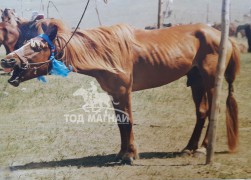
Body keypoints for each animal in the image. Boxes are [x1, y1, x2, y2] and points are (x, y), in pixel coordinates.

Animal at [0, 19, 239, 165]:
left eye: (37, 47)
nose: (7, 60)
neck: (106, 53)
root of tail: (224, 36)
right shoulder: (114, 93)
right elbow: (121, 123)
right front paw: (122, 153)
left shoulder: (124, 91)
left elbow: (128, 121)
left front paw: (131, 155)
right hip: (196, 81)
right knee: (202, 113)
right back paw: (189, 148)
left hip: (210, 82)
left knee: (213, 111)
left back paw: (203, 148)